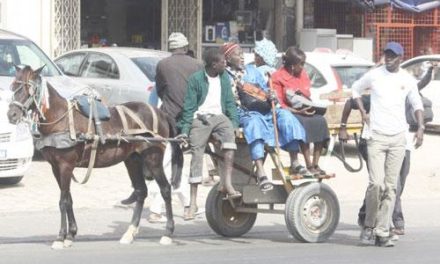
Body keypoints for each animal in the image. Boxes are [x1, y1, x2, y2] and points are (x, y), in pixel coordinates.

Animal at [7, 65, 182, 249]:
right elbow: (68, 199)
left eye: (29, 88)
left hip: (153, 158)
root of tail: (160, 112)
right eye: (13, 87)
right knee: (141, 191)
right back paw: (130, 232)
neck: (62, 120)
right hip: (132, 159)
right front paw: (71, 234)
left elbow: (63, 201)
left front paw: (61, 237)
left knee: (165, 189)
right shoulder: (56, 168)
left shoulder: (65, 166)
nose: (11, 114)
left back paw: (168, 232)